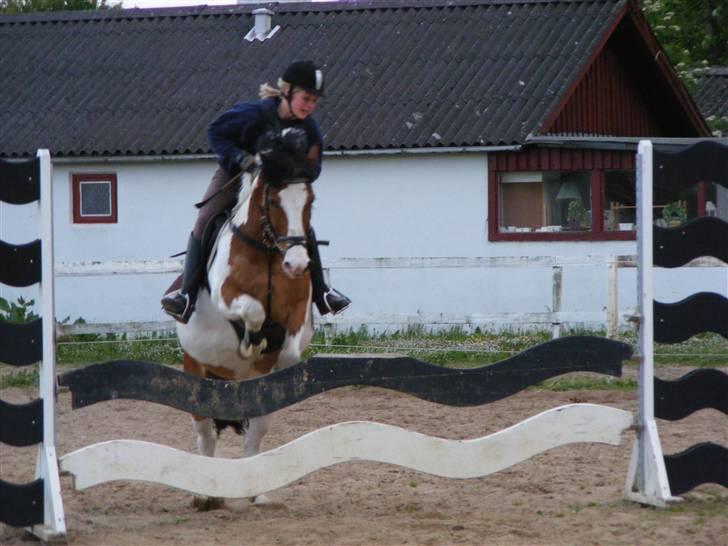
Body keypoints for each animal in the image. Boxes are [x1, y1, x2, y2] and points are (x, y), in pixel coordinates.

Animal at [176, 129, 316, 506]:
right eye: (274, 202)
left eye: (310, 202)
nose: (297, 263)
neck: (267, 249)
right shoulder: (227, 296)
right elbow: (253, 312)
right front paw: (251, 344)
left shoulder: (298, 307)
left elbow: (291, 348)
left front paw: (271, 349)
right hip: (196, 372)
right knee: (205, 434)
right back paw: (204, 495)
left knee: (254, 434)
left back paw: (255, 490)